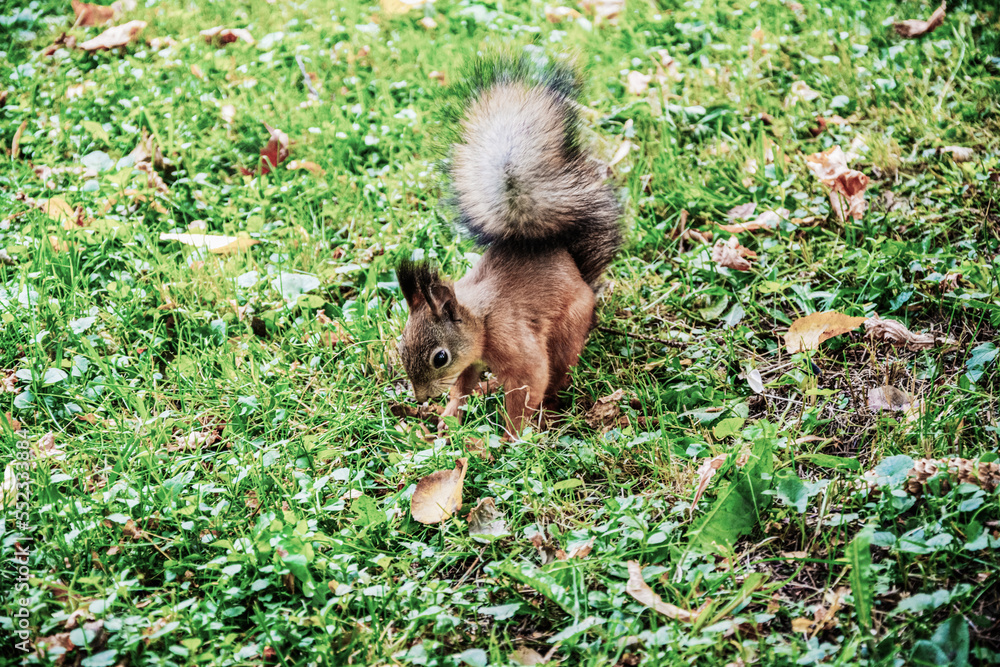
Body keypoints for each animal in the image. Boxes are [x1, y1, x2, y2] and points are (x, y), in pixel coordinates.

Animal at [396, 56, 623, 438]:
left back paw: (550, 409)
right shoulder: (470, 362)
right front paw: (449, 420)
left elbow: (529, 383)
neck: (480, 323)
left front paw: (510, 437)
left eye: (440, 357)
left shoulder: (512, 342)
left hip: (568, 331)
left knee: (557, 374)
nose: (421, 398)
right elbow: (462, 387)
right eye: (401, 346)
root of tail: (574, 268)